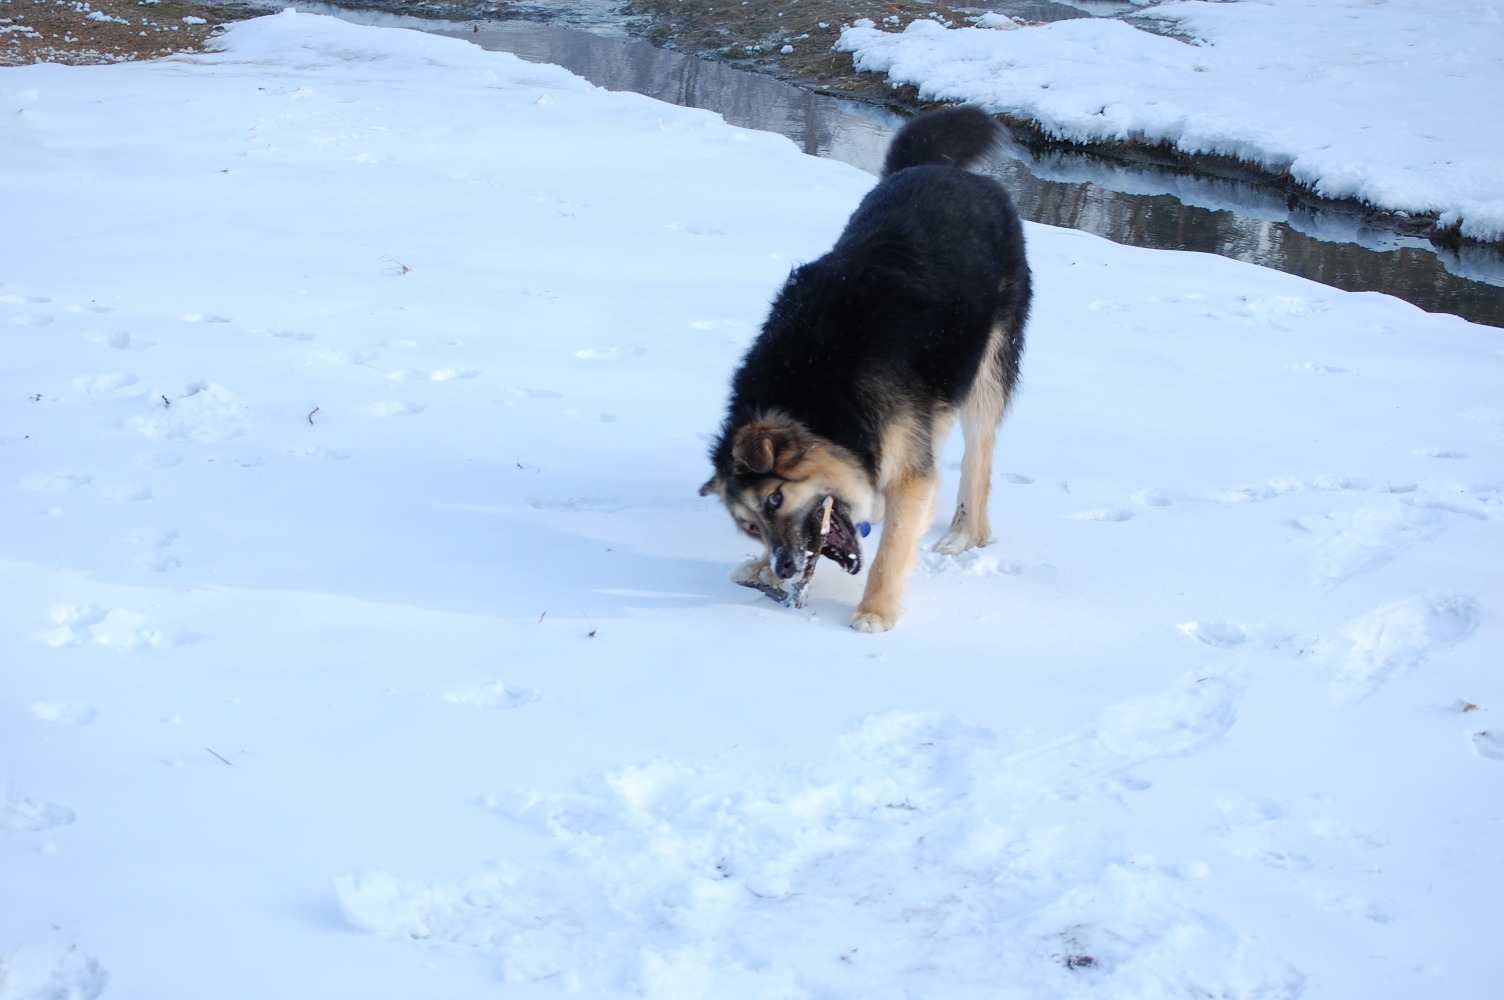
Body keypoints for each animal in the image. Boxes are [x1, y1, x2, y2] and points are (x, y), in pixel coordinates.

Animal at [700, 106, 1031, 632]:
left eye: (775, 498)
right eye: (751, 526)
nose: (783, 568)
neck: (816, 390)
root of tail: (941, 170)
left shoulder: (906, 469)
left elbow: (894, 545)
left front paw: (876, 610)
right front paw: (763, 572)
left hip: (987, 371)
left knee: (977, 461)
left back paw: (965, 534)